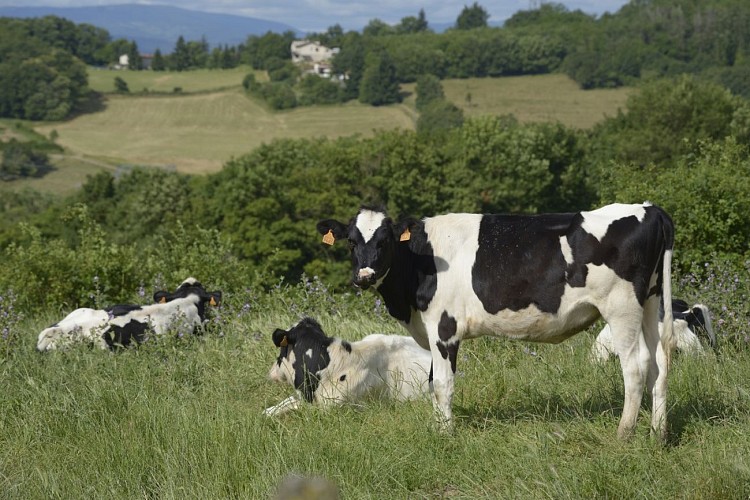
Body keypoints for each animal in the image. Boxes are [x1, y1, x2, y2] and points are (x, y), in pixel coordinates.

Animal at [318, 201, 676, 440]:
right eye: (351, 241)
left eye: (385, 240)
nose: (364, 276)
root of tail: (649, 208)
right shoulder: (430, 332)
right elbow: (432, 383)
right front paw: (437, 428)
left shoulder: (444, 329)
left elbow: (443, 384)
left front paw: (445, 435)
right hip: (651, 301)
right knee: (659, 362)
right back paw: (658, 433)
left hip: (622, 306)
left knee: (635, 366)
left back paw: (624, 434)